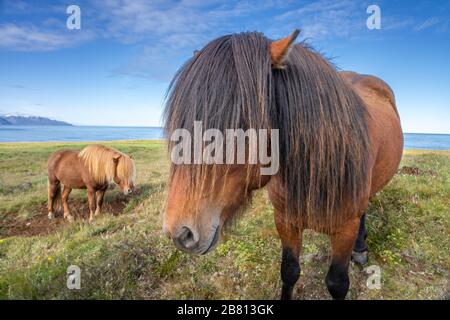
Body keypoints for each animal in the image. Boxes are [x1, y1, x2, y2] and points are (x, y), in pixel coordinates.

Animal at [163, 30, 404, 300]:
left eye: (242, 122)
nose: (179, 233)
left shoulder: (345, 229)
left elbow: (337, 283)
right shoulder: (285, 221)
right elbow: (289, 271)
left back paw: (360, 248)